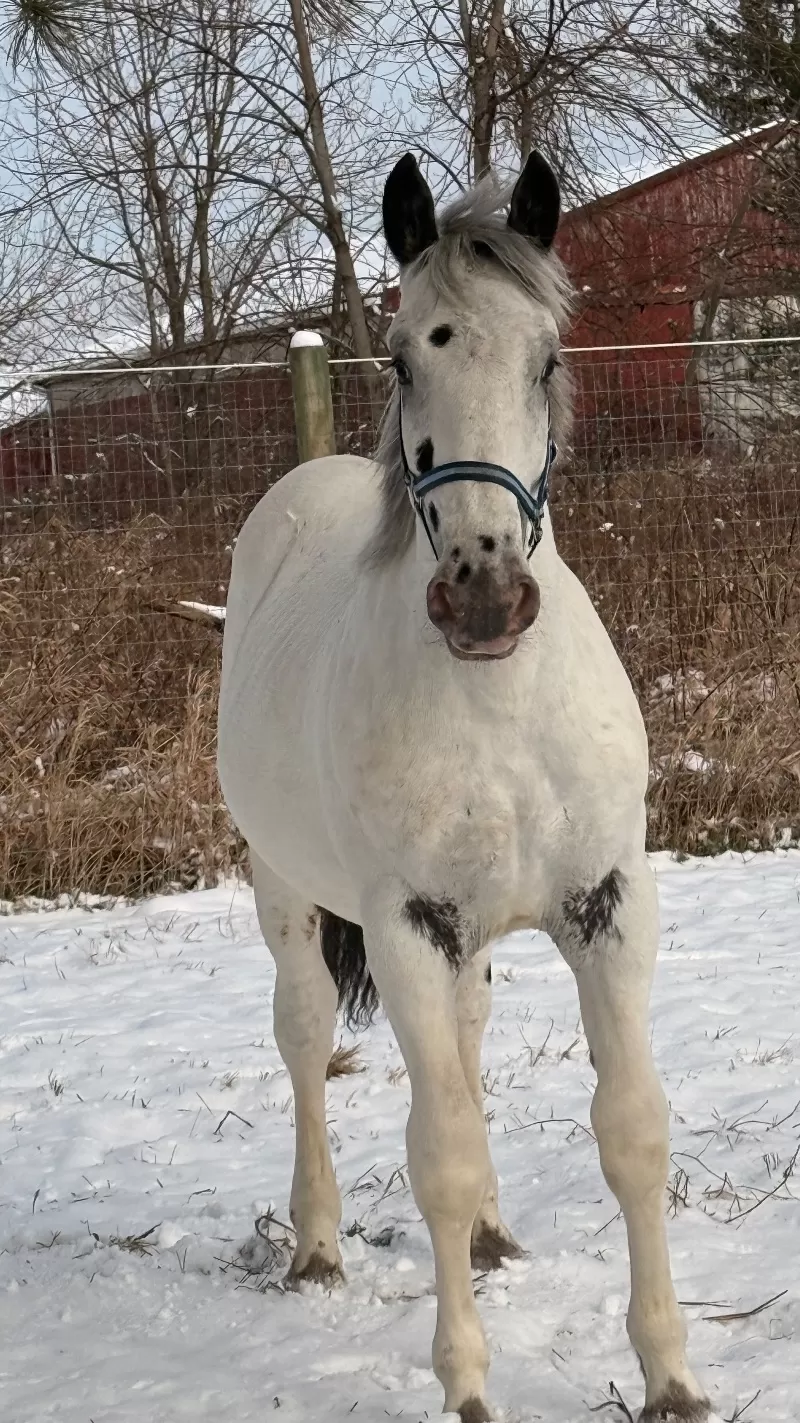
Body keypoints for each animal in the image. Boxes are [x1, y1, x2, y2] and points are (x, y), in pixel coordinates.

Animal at [217, 151, 710, 1423]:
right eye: (403, 357)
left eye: (545, 356)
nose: (483, 593)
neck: (498, 702)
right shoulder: (405, 925)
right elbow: (430, 1153)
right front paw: (469, 1384)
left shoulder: (606, 906)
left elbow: (631, 1131)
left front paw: (671, 1376)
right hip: (286, 890)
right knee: (303, 1039)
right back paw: (315, 1242)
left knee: (472, 1037)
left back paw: (492, 1232)